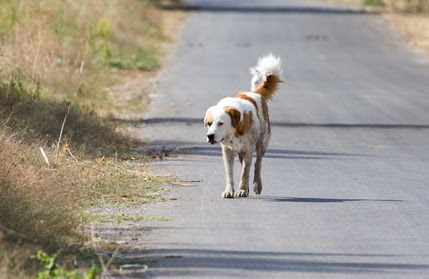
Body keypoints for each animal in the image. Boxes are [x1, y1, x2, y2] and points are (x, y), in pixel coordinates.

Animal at [203, 54, 282, 199]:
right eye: (209, 124)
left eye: (220, 123)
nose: (210, 136)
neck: (234, 132)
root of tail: (256, 93)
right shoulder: (227, 151)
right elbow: (229, 173)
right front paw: (229, 191)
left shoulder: (248, 149)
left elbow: (245, 172)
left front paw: (242, 190)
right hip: (240, 152)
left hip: (262, 143)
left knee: (257, 163)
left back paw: (257, 185)